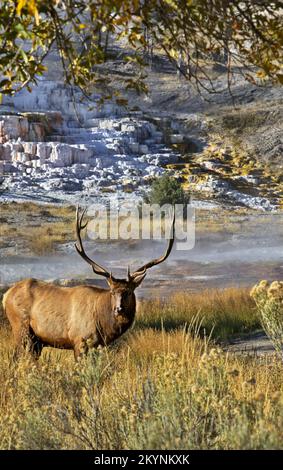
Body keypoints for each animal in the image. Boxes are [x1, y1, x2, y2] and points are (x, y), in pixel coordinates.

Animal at [2, 207, 175, 360]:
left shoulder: (98, 345)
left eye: (128, 292)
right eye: (112, 292)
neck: (104, 326)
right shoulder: (79, 340)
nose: (118, 309)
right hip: (21, 328)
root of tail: (5, 296)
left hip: (36, 340)